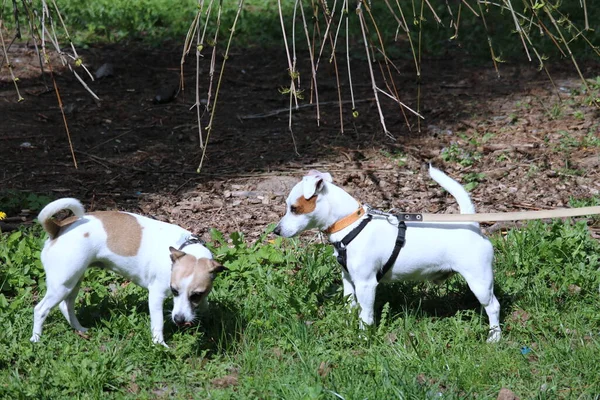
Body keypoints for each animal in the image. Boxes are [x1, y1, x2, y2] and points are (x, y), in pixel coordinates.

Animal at [30, 198, 224, 346]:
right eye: (174, 291)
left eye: (196, 295)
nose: (179, 319)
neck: (183, 247)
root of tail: (57, 228)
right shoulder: (156, 296)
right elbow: (158, 323)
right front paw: (160, 344)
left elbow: (205, 306)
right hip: (62, 285)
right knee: (40, 309)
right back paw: (36, 339)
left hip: (73, 281)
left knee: (66, 305)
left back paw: (79, 329)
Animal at [274, 166, 500, 340]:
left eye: (294, 208)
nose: (276, 231)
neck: (351, 225)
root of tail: (471, 224)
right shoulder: (348, 279)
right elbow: (351, 305)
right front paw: (348, 323)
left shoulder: (366, 284)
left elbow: (366, 315)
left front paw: (363, 337)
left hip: (479, 281)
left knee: (494, 306)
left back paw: (494, 337)